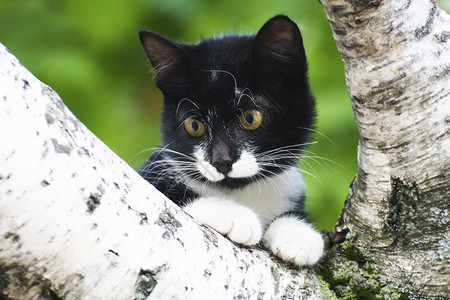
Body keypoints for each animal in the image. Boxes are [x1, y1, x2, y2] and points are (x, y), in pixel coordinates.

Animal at [137, 15, 324, 266]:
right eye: (194, 125)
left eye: (250, 118)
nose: (221, 160)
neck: (241, 191)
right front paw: (234, 215)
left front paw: (297, 234)